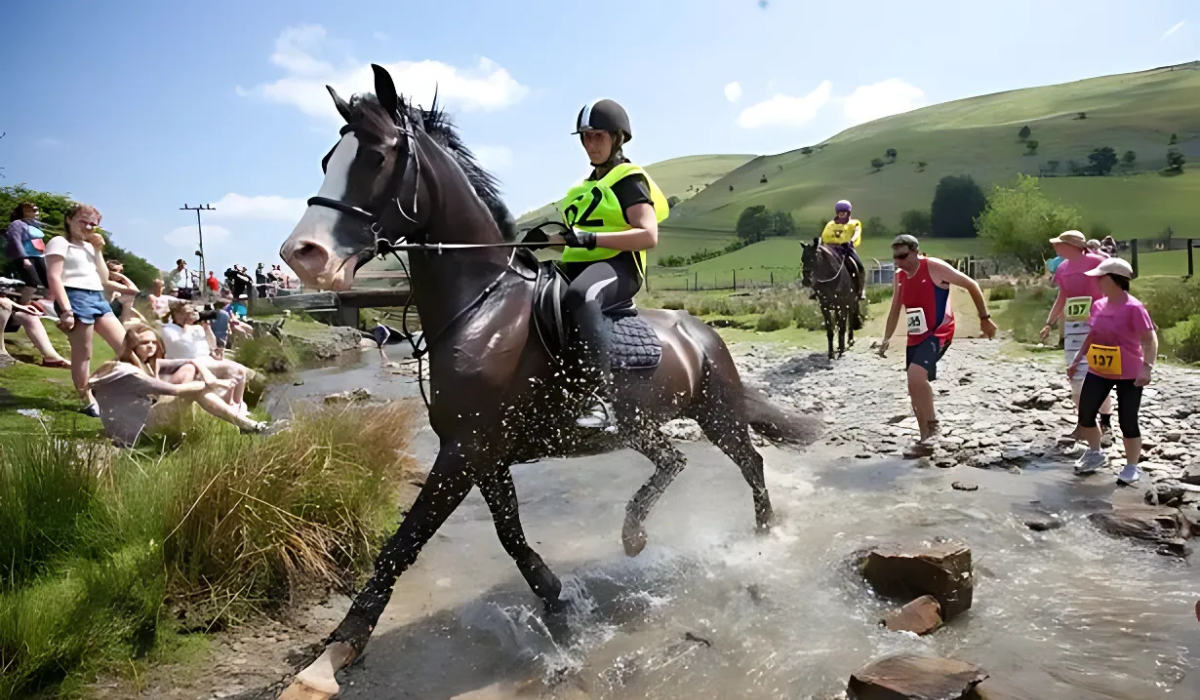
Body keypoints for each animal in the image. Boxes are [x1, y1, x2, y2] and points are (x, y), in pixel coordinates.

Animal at [274, 65, 821, 699]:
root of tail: (701, 330)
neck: (480, 308)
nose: (302, 255)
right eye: (326, 159)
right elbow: (509, 533)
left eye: (379, 155)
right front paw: (554, 594)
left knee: (744, 463)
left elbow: (403, 542)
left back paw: (753, 534)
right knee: (676, 461)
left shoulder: (464, 451)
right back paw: (641, 533)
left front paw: (336, 650)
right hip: (652, 423)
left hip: (716, 413)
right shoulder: (482, 452)